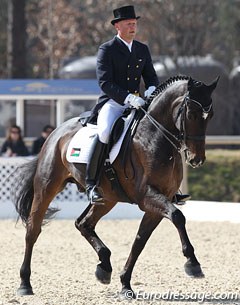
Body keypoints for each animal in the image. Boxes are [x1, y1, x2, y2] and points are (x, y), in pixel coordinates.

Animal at [10, 75, 218, 296]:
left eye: (210, 115)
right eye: (191, 114)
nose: (196, 159)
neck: (154, 137)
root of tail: (56, 132)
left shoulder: (158, 202)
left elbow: (139, 241)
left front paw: (125, 284)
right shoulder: (147, 196)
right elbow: (178, 217)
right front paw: (193, 264)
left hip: (107, 198)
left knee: (83, 223)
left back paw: (104, 266)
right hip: (47, 186)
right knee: (33, 229)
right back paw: (25, 284)